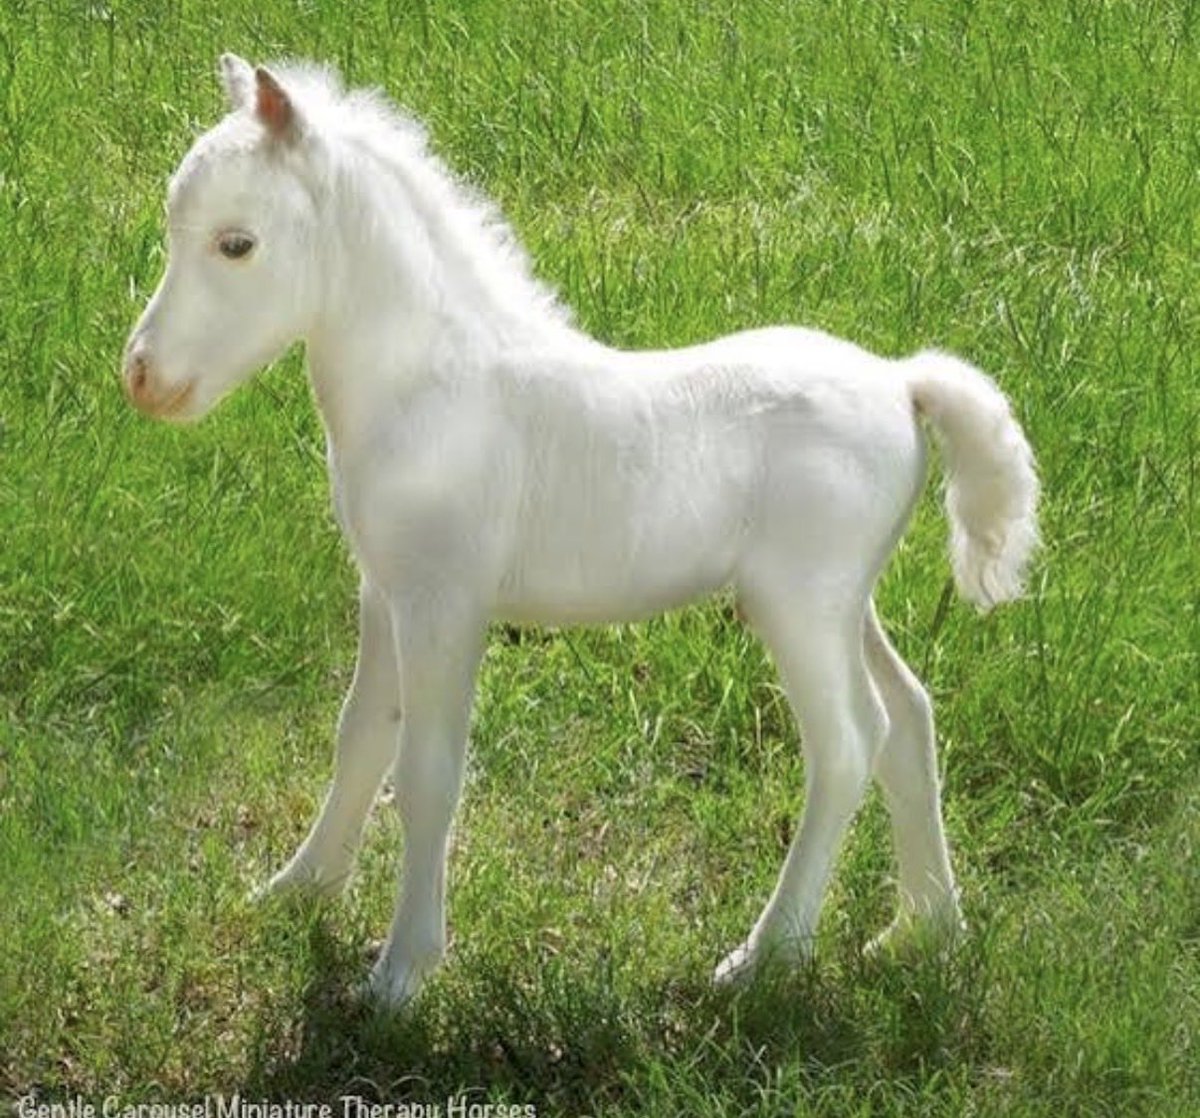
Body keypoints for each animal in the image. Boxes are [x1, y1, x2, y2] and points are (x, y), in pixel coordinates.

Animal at [122, 55, 1039, 1007]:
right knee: (912, 717)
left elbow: (427, 773)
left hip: (802, 607)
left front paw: (401, 973)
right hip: (846, 601)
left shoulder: (446, 602)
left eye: (237, 244)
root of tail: (901, 383)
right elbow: (360, 738)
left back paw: (766, 955)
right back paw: (923, 931)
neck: (434, 387)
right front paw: (298, 890)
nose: (141, 377)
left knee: (851, 743)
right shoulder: (385, 590)